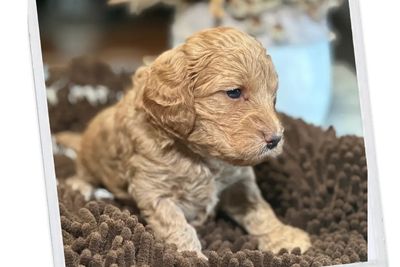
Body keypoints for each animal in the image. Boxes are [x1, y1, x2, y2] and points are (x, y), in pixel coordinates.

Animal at [64, 27, 310, 260]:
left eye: (274, 98)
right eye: (234, 92)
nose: (275, 139)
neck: (202, 156)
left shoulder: (239, 182)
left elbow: (261, 210)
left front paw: (284, 237)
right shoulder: (154, 189)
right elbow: (177, 224)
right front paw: (190, 256)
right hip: (90, 160)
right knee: (82, 173)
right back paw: (79, 186)